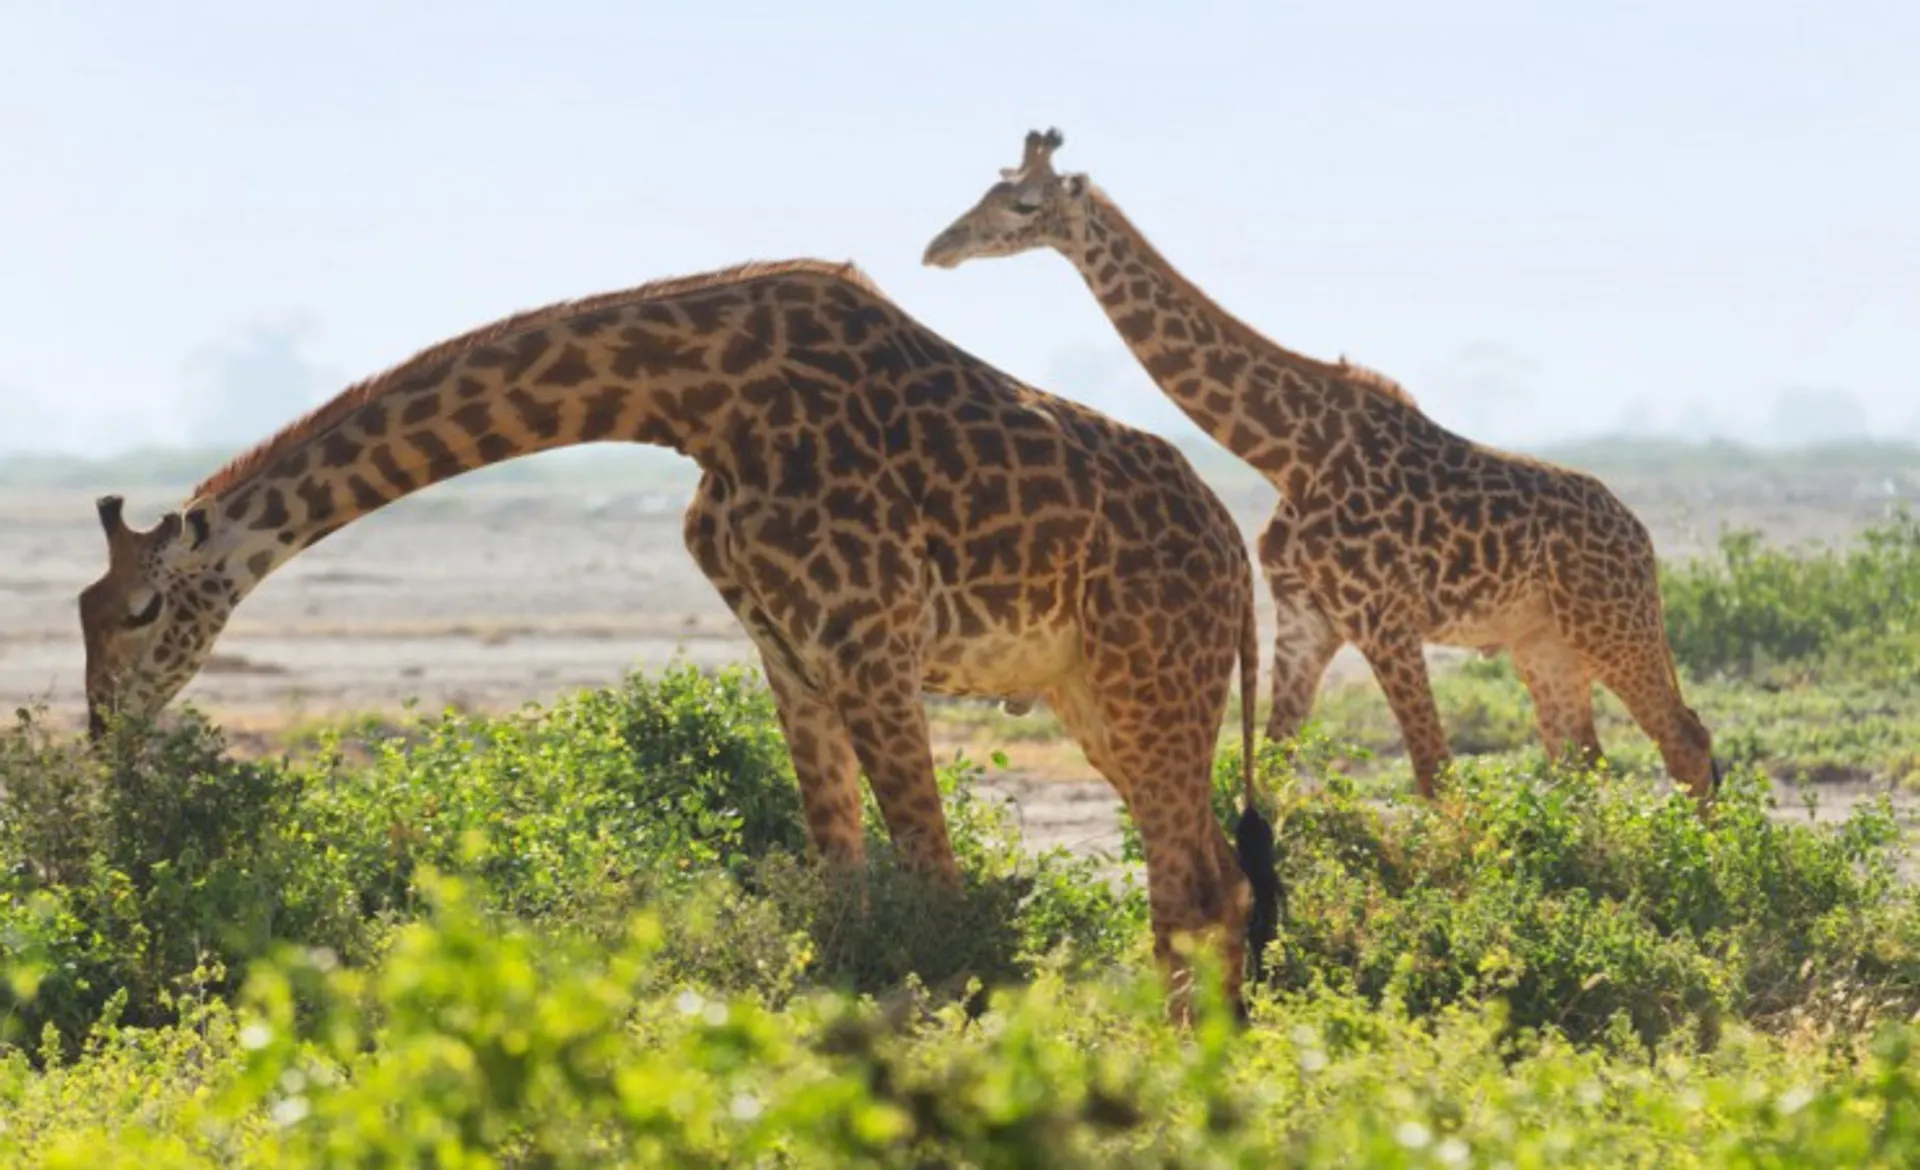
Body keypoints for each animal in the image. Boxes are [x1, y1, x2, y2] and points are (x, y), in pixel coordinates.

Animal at [76, 257, 1283, 1016]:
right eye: (84, 617)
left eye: (140, 612)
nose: (99, 739)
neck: (695, 401)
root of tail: (1235, 555)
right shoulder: (793, 657)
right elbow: (840, 903)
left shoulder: (872, 647)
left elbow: (939, 897)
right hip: (1098, 698)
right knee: (1209, 881)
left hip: (1153, 679)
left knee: (1193, 887)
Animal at [922, 129, 1721, 812]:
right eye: (990, 189)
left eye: (1025, 204)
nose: (939, 246)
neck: (1286, 451)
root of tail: (1642, 539)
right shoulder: (1308, 616)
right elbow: (1273, 766)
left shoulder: (1384, 618)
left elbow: (1434, 774)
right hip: (1544, 643)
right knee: (1582, 762)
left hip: (1609, 625)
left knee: (1685, 740)